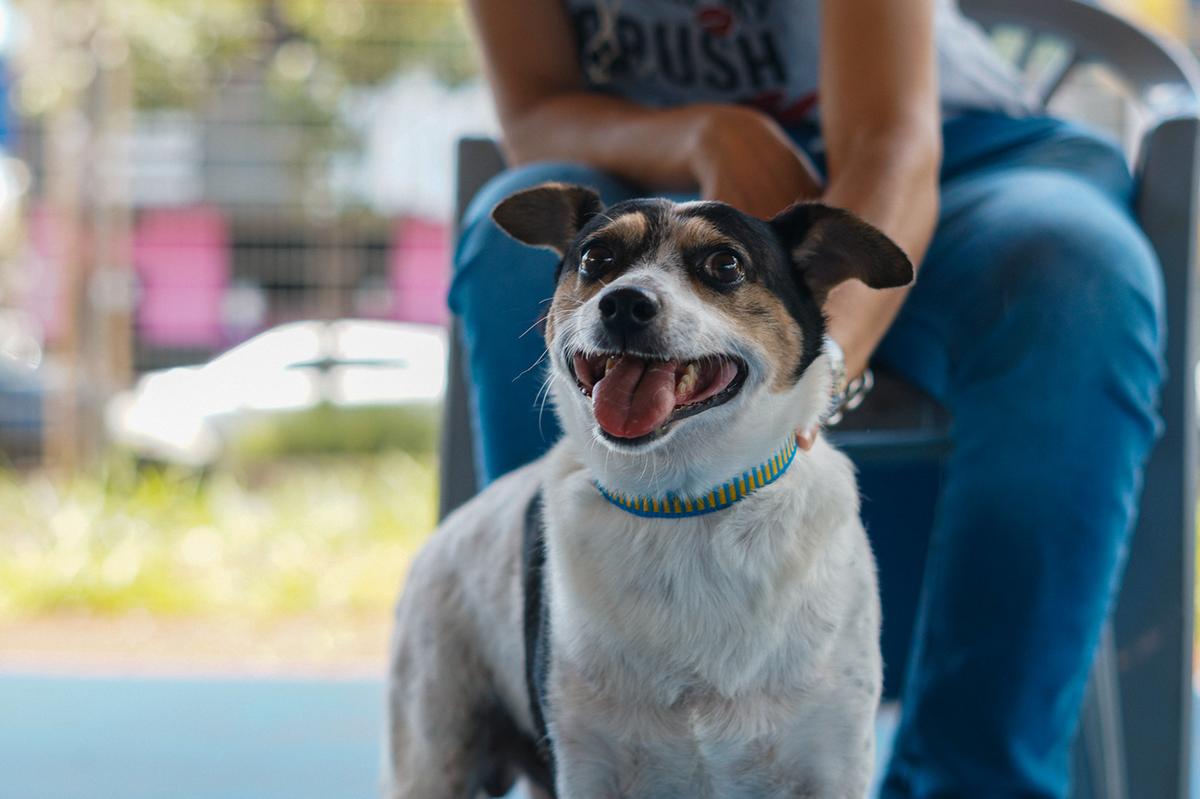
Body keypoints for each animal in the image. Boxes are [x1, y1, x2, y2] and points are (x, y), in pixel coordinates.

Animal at [388, 182, 912, 796]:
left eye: (726, 264)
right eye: (596, 259)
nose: (623, 303)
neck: (683, 506)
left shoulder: (832, 763)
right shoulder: (587, 768)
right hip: (433, 754)